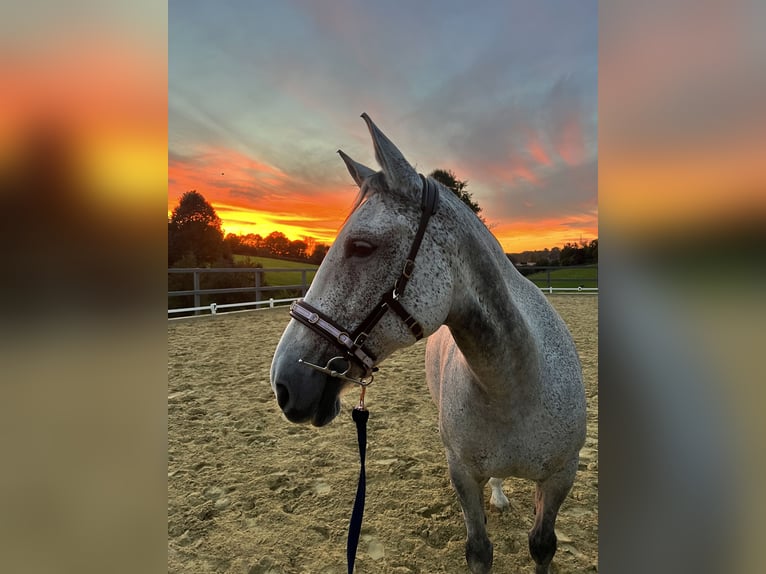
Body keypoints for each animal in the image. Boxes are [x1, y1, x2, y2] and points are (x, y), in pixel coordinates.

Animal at [270, 115, 588, 572]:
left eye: (362, 246)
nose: (283, 383)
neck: (518, 386)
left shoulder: (561, 478)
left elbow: (542, 546)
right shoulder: (464, 476)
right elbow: (479, 550)